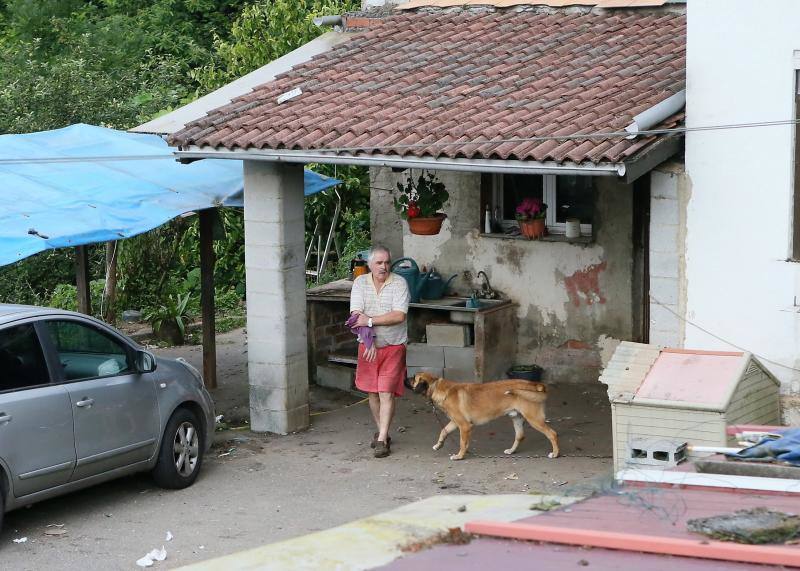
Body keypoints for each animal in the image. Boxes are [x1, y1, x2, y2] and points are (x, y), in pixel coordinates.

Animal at [406, 374, 556, 462]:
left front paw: (460, 456)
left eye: (413, 378)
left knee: (552, 434)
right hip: (517, 418)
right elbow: (443, 431)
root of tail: (534, 384)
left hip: (534, 419)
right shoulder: (455, 422)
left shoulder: (464, 426)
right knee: (520, 436)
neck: (439, 387)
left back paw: (555, 453)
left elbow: (462, 443)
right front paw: (439, 445)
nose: (404, 377)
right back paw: (511, 451)